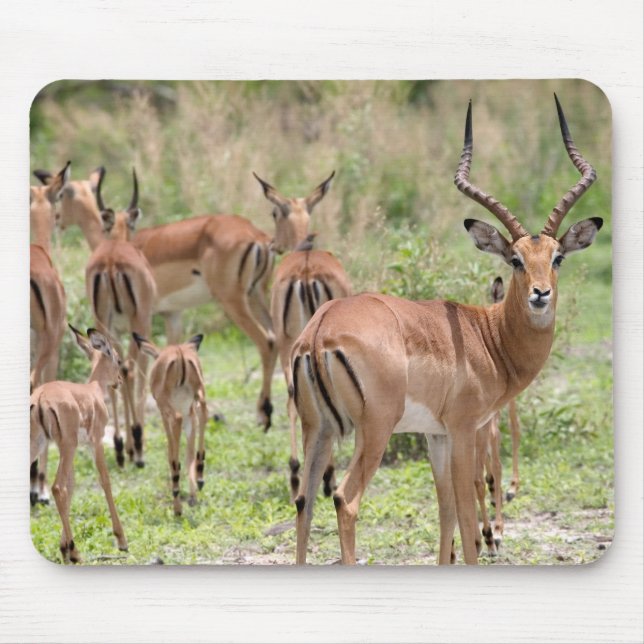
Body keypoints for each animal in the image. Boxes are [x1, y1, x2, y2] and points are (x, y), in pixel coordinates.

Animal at [30, 326, 128, 563]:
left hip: (41, 445)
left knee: (61, 487)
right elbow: (105, 481)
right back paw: (76, 552)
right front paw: (121, 541)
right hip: (67, 446)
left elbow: (72, 485)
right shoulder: (96, 442)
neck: (93, 391)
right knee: (56, 487)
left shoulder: (74, 448)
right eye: (118, 359)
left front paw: (64, 547)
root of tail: (41, 397)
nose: (120, 380)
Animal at [132, 332, 208, 515]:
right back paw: (200, 475)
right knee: (204, 411)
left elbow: (171, 450)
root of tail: (180, 353)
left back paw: (177, 499)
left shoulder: (164, 413)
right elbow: (189, 454)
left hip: (169, 407)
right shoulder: (190, 413)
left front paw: (179, 505)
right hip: (199, 395)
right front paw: (193, 497)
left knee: (178, 423)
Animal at [270, 232, 351, 498]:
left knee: (292, 397)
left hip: (289, 346)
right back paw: (327, 478)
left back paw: (296, 474)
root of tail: (305, 268)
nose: (273, 245)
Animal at [291, 95, 602, 565]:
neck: (487, 337)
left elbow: (446, 513)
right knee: (345, 499)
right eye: (515, 259)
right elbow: (469, 521)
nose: (540, 294)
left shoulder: (435, 435)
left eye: (557, 257)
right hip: (374, 429)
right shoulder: (464, 429)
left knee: (304, 501)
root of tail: (319, 330)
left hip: (319, 428)